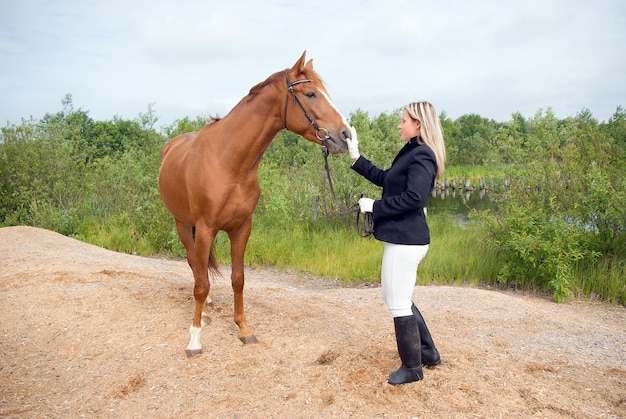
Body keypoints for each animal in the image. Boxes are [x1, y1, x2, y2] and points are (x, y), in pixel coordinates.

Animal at [157, 50, 352, 356]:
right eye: (310, 94)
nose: (345, 135)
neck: (228, 162)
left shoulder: (241, 228)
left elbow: (238, 279)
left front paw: (244, 329)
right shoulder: (205, 228)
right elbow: (201, 284)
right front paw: (194, 339)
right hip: (182, 224)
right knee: (194, 265)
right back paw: (204, 313)